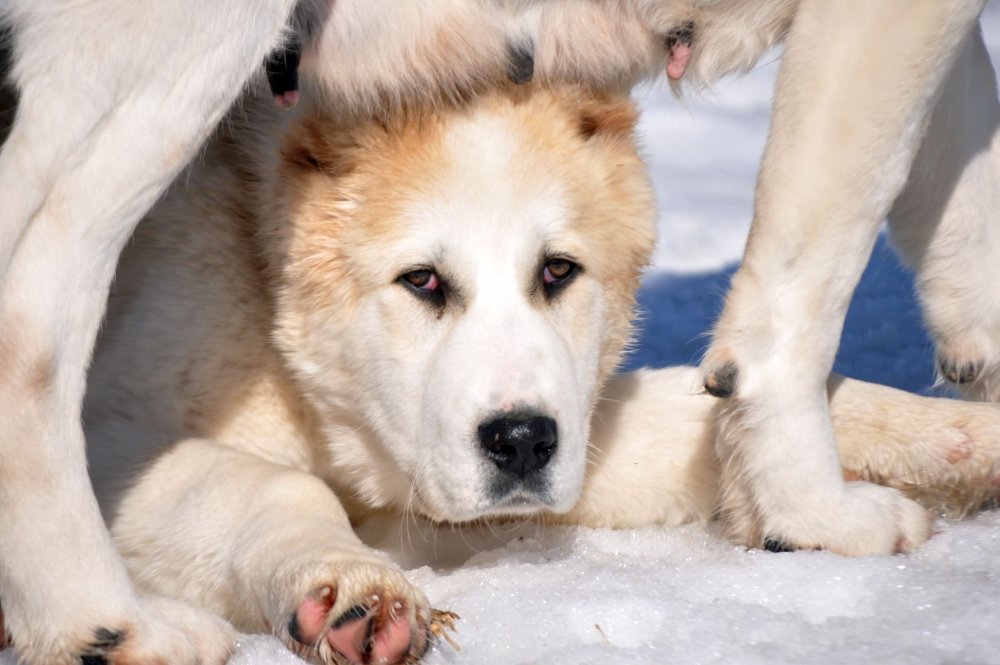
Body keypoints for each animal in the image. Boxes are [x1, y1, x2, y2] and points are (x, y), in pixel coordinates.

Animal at [0, 1, 996, 664]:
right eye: (422, 281)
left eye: (558, 271)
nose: (520, 440)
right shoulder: (119, 439)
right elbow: (279, 486)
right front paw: (352, 588)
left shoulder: (560, 443)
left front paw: (962, 440)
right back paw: (112, 623)